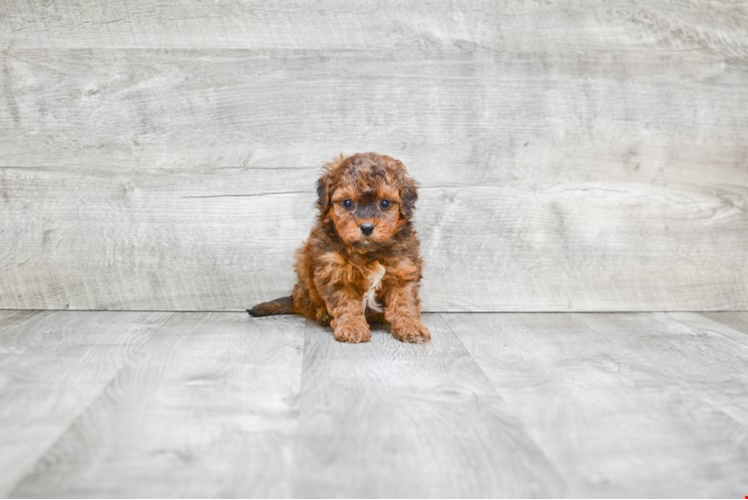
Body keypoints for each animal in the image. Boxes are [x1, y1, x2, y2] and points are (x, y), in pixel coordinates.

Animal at [248, 151, 430, 344]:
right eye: (347, 203)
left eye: (385, 203)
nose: (366, 227)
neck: (368, 252)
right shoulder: (335, 272)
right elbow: (346, 303)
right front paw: (352, 327)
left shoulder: (403, 269)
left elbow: (404, 303)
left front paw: (411, 327)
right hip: (304, 270)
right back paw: (324, 315)